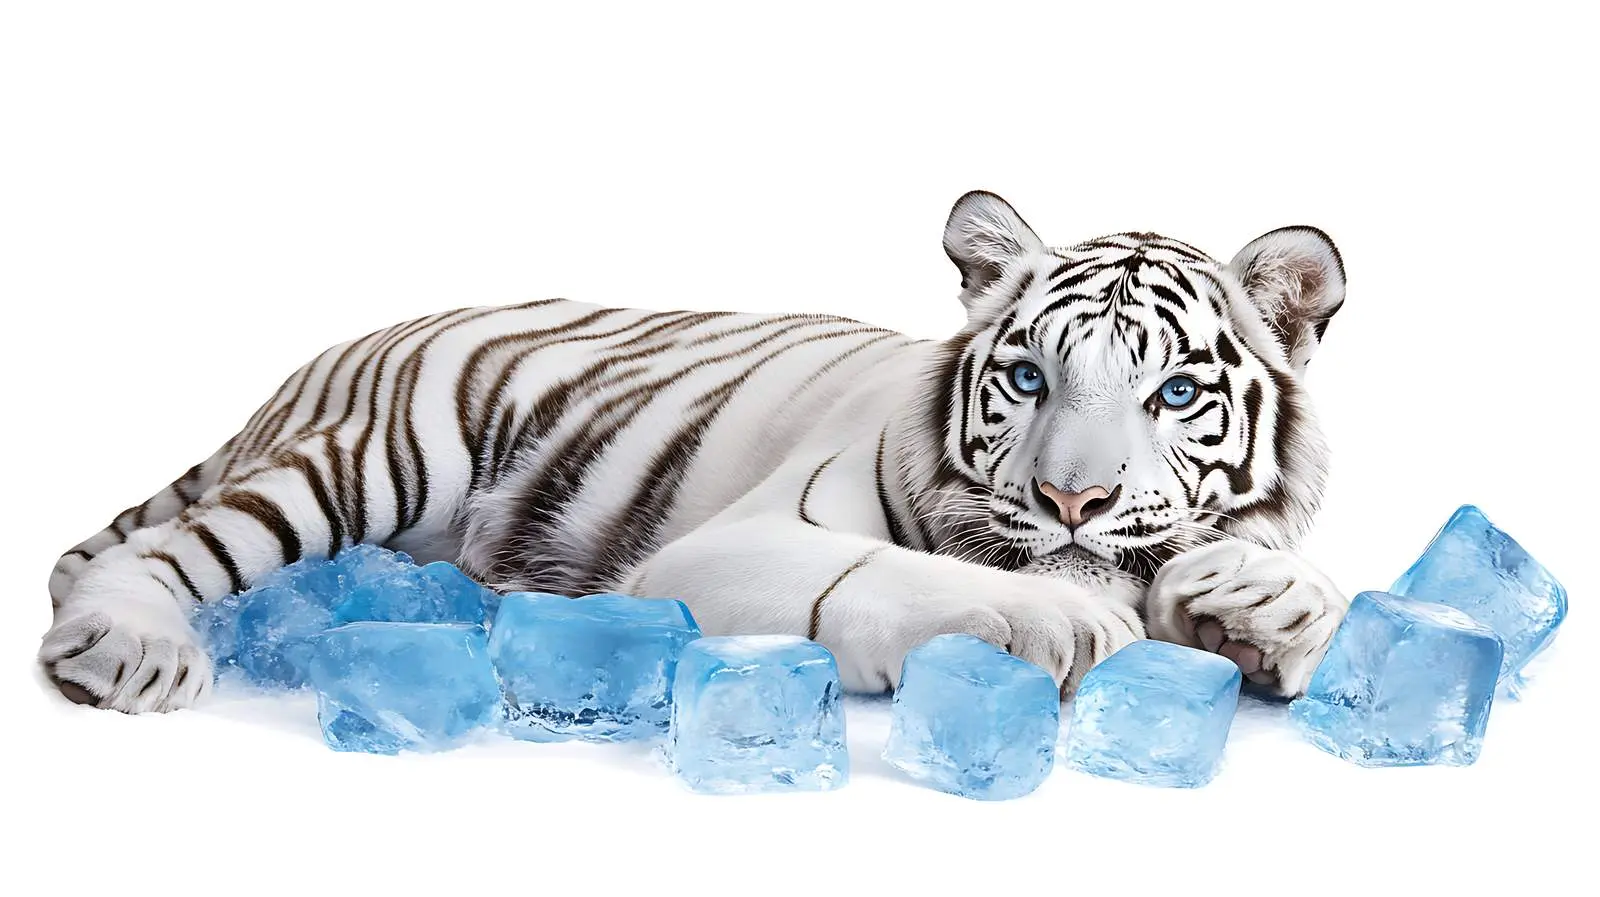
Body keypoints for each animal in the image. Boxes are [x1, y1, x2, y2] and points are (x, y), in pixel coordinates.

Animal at [40, 191, 1351, 714]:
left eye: (1174, 393)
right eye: (1027, 377)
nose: (1071, 499)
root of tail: (320, 359)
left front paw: (1256, 607)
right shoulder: (727, 548)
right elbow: (896, 577)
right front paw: (1058, 615)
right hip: (379, 456)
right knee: (146, 553)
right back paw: (131, 650)